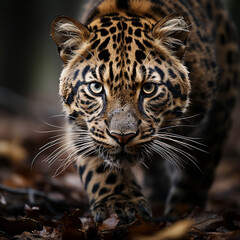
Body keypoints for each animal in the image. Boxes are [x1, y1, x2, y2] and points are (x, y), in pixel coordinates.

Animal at [50, 0, 238, 223]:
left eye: (149, 88)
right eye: (96, 87)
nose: (122, 137)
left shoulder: (213, 122)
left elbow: (197, 172)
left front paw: (185, 214)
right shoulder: (81, 126)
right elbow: (99, 166)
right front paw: (121, 203)